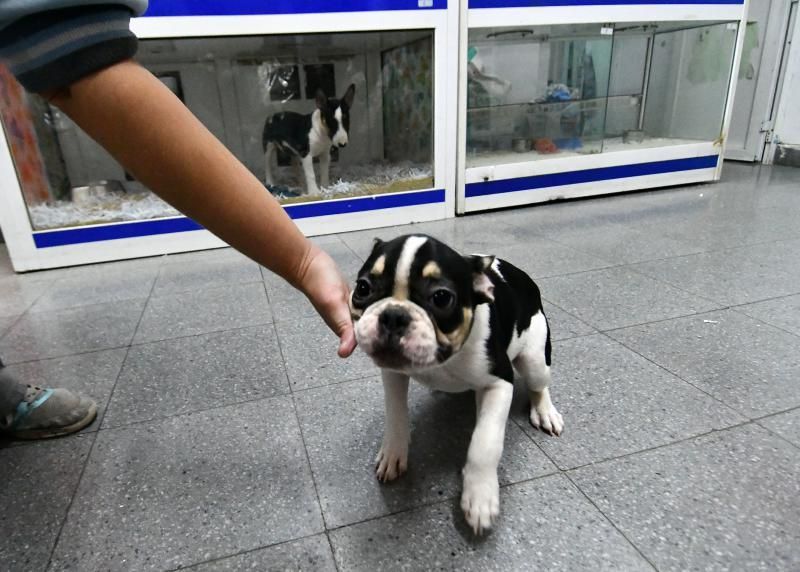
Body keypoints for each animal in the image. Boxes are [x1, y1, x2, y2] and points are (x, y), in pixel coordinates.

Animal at [348, 233, 564, 536]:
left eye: (441, 297)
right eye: (363, 287)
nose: (393, 315)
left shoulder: (499, 382)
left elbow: (484, 443)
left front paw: (480, 496)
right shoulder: (393, 374)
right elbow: (396, 415)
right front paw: (393, 452)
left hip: (534, 357)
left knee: (538, 384)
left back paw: (545, 411)